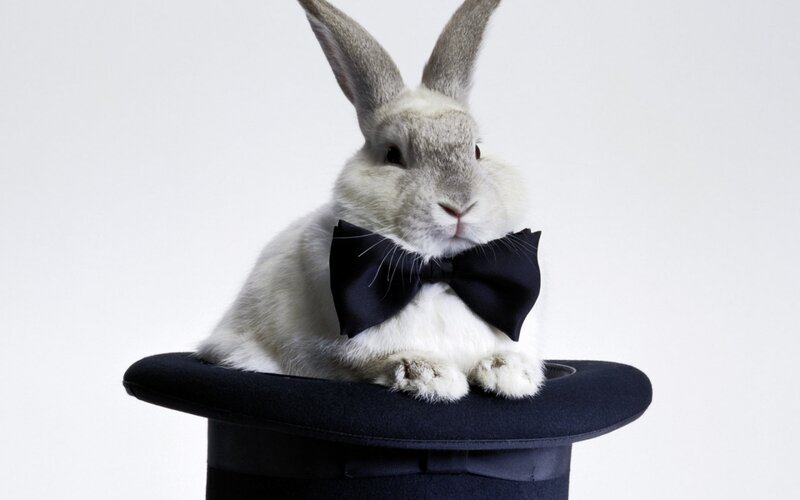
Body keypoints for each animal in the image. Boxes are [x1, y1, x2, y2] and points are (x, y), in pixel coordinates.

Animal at [197, 0, 545, 402]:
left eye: (476, 150)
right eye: (393, 155)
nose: (459, 206)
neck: (441, 275)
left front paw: (511, 374)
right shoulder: (323, 352)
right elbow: (371, 360)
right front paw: (433, 376)